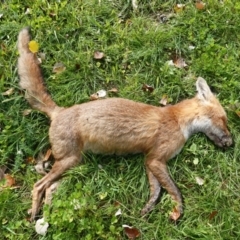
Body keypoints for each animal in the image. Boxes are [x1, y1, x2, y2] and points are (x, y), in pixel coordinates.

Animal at [17, 27, 232, 221]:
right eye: (224, 120)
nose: (231, 142)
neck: (178, 120)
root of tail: (59, 111)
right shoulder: (157, 159)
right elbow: (175, 189)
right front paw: (178, 210)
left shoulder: (150, 159)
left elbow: (156, 191)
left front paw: (147, 209)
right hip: (69, 160)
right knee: (38, 186)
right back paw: (34, 216)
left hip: (72, 164)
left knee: (49, 188)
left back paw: (46, 218)